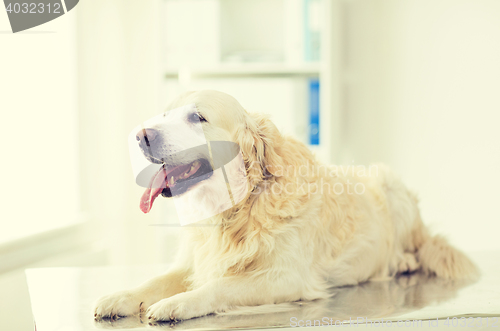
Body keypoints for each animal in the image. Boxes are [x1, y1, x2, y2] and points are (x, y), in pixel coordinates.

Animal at [93, 91, 476, 324]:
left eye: (197, 118)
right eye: (166, 115)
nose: (141, 136)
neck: (237, 210)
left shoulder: (287, 277)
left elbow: (219, 286)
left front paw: (178, 303)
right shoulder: (193, 261)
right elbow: (153, 281)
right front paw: (120, 297)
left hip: (392, 186)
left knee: (416, 246)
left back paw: (403, 260)